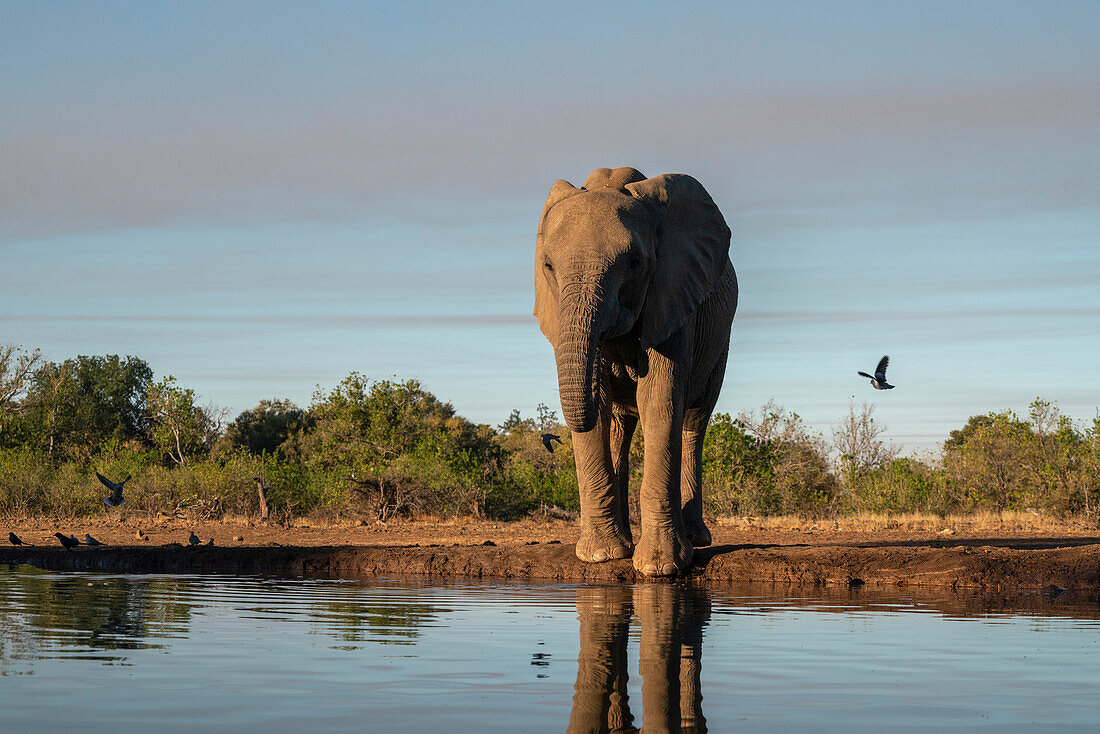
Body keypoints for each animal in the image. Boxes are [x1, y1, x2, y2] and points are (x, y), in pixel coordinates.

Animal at [534, 166, 739, 581]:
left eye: (633, 264)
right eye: (548, 267)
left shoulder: (674, 294)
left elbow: (659, 399)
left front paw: (660, 567)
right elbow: (599, 404)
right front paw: (601, 557)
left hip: (720, 340)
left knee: (694, 420)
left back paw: (696, 539)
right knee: (618, 427)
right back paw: (624, 544)